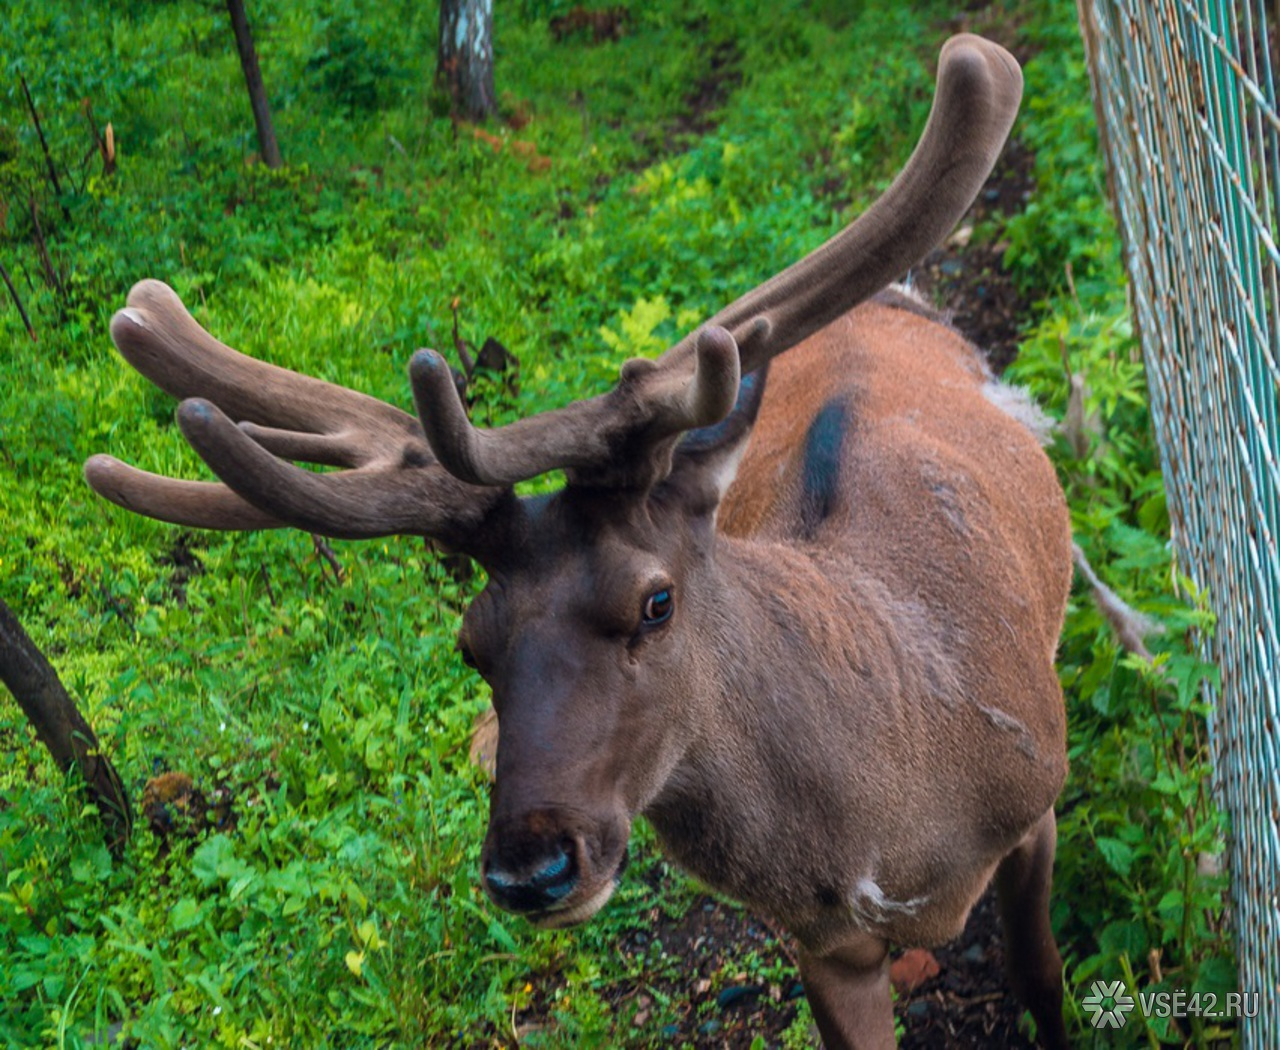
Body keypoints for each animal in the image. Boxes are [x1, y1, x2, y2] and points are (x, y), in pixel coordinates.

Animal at [85, 34, 1070, 1050]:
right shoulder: (818, 941)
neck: (893, 828)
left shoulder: (1041, 798)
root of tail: (891, 302)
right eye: (469, 643)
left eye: (656, 601)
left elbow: (1041, 974)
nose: (531, 869)